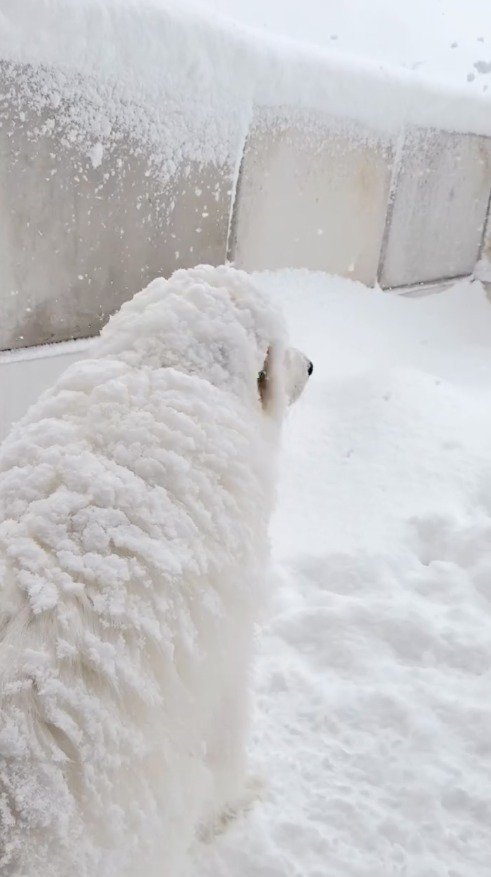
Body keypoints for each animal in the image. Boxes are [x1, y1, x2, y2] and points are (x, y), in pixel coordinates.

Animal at [0, 264, 312, 872]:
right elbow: (226, 739)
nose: (312, 366)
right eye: (282, 346)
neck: (161, 368)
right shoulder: (225, 653)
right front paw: (235, 802)